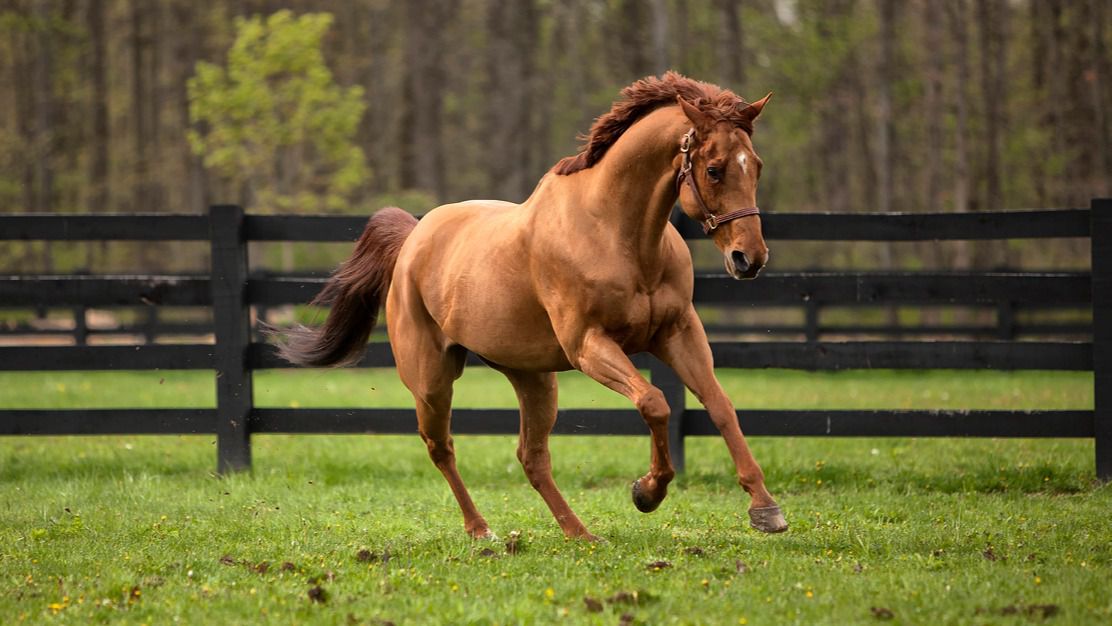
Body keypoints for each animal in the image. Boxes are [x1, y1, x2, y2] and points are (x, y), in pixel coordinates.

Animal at [273, 73, 787, 540]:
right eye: (715, 169)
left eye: (757, 166)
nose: (750, 258)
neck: (616, 234)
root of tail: (414, 238)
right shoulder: (589, 346)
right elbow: (655, 403)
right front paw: (647, 491)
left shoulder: (678, 333)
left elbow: (720, 405)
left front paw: (765, 509)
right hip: (432, 380)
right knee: (442, 447)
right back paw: (482, 530)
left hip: (533, 377)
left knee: (531, 457)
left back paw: (580, 533)